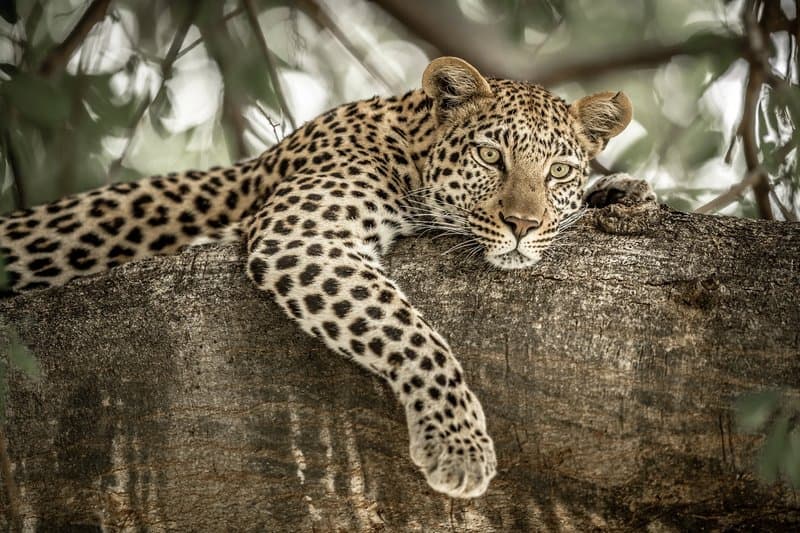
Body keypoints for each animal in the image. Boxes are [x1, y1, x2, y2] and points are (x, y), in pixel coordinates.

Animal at [0, 57, 655, 498]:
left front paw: (620, 192)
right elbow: (414, 334)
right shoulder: (301, 235)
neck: (407, 144)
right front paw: (457, 441)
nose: (522, 224)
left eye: (560, 171)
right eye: (491, 157)